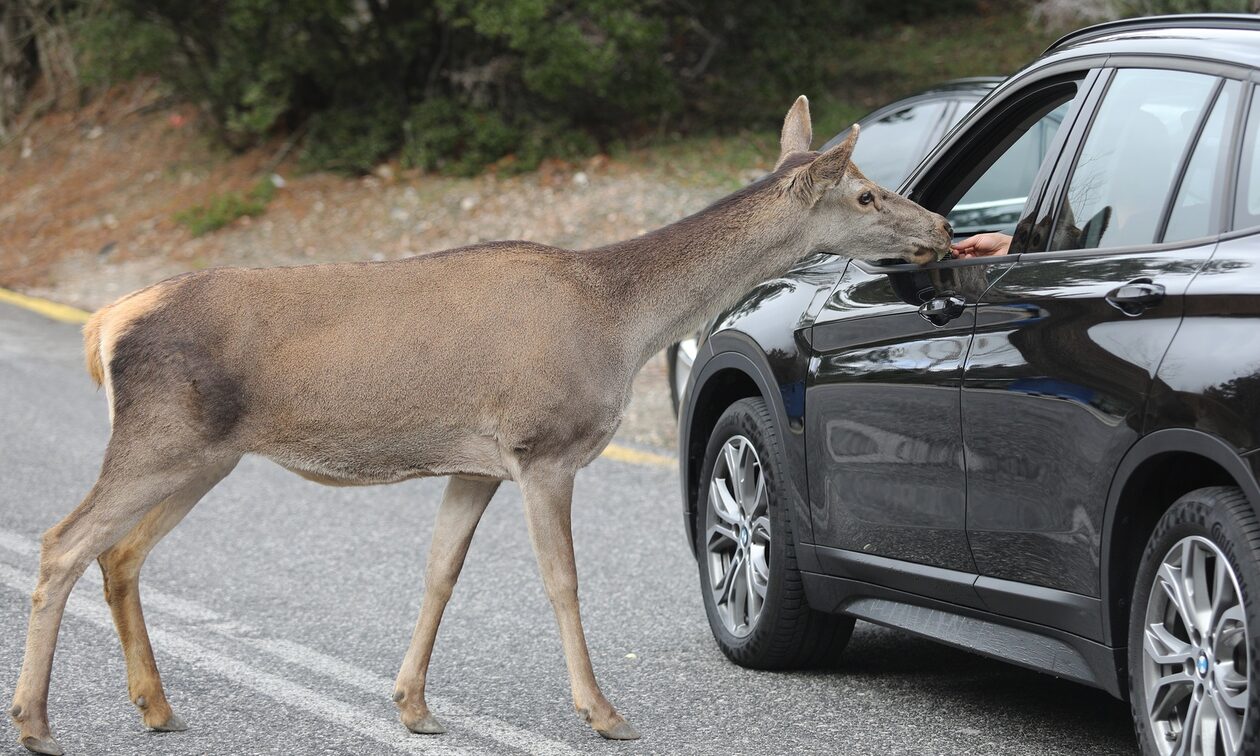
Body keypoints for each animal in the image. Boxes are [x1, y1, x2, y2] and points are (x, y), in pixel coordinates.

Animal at [4, 95, 947, 756]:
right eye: (867, 193)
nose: (939, 226)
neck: (621, 323)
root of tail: (104, 322)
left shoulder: (473, 463)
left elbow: (440, 574)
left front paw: (413, 706)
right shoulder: (542, 445)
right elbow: (563, 582)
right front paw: (603, 712)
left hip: (205, 454)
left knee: (120, 553)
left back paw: (156, 707)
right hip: (160, 437)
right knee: (61, 541)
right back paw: (37, 720)